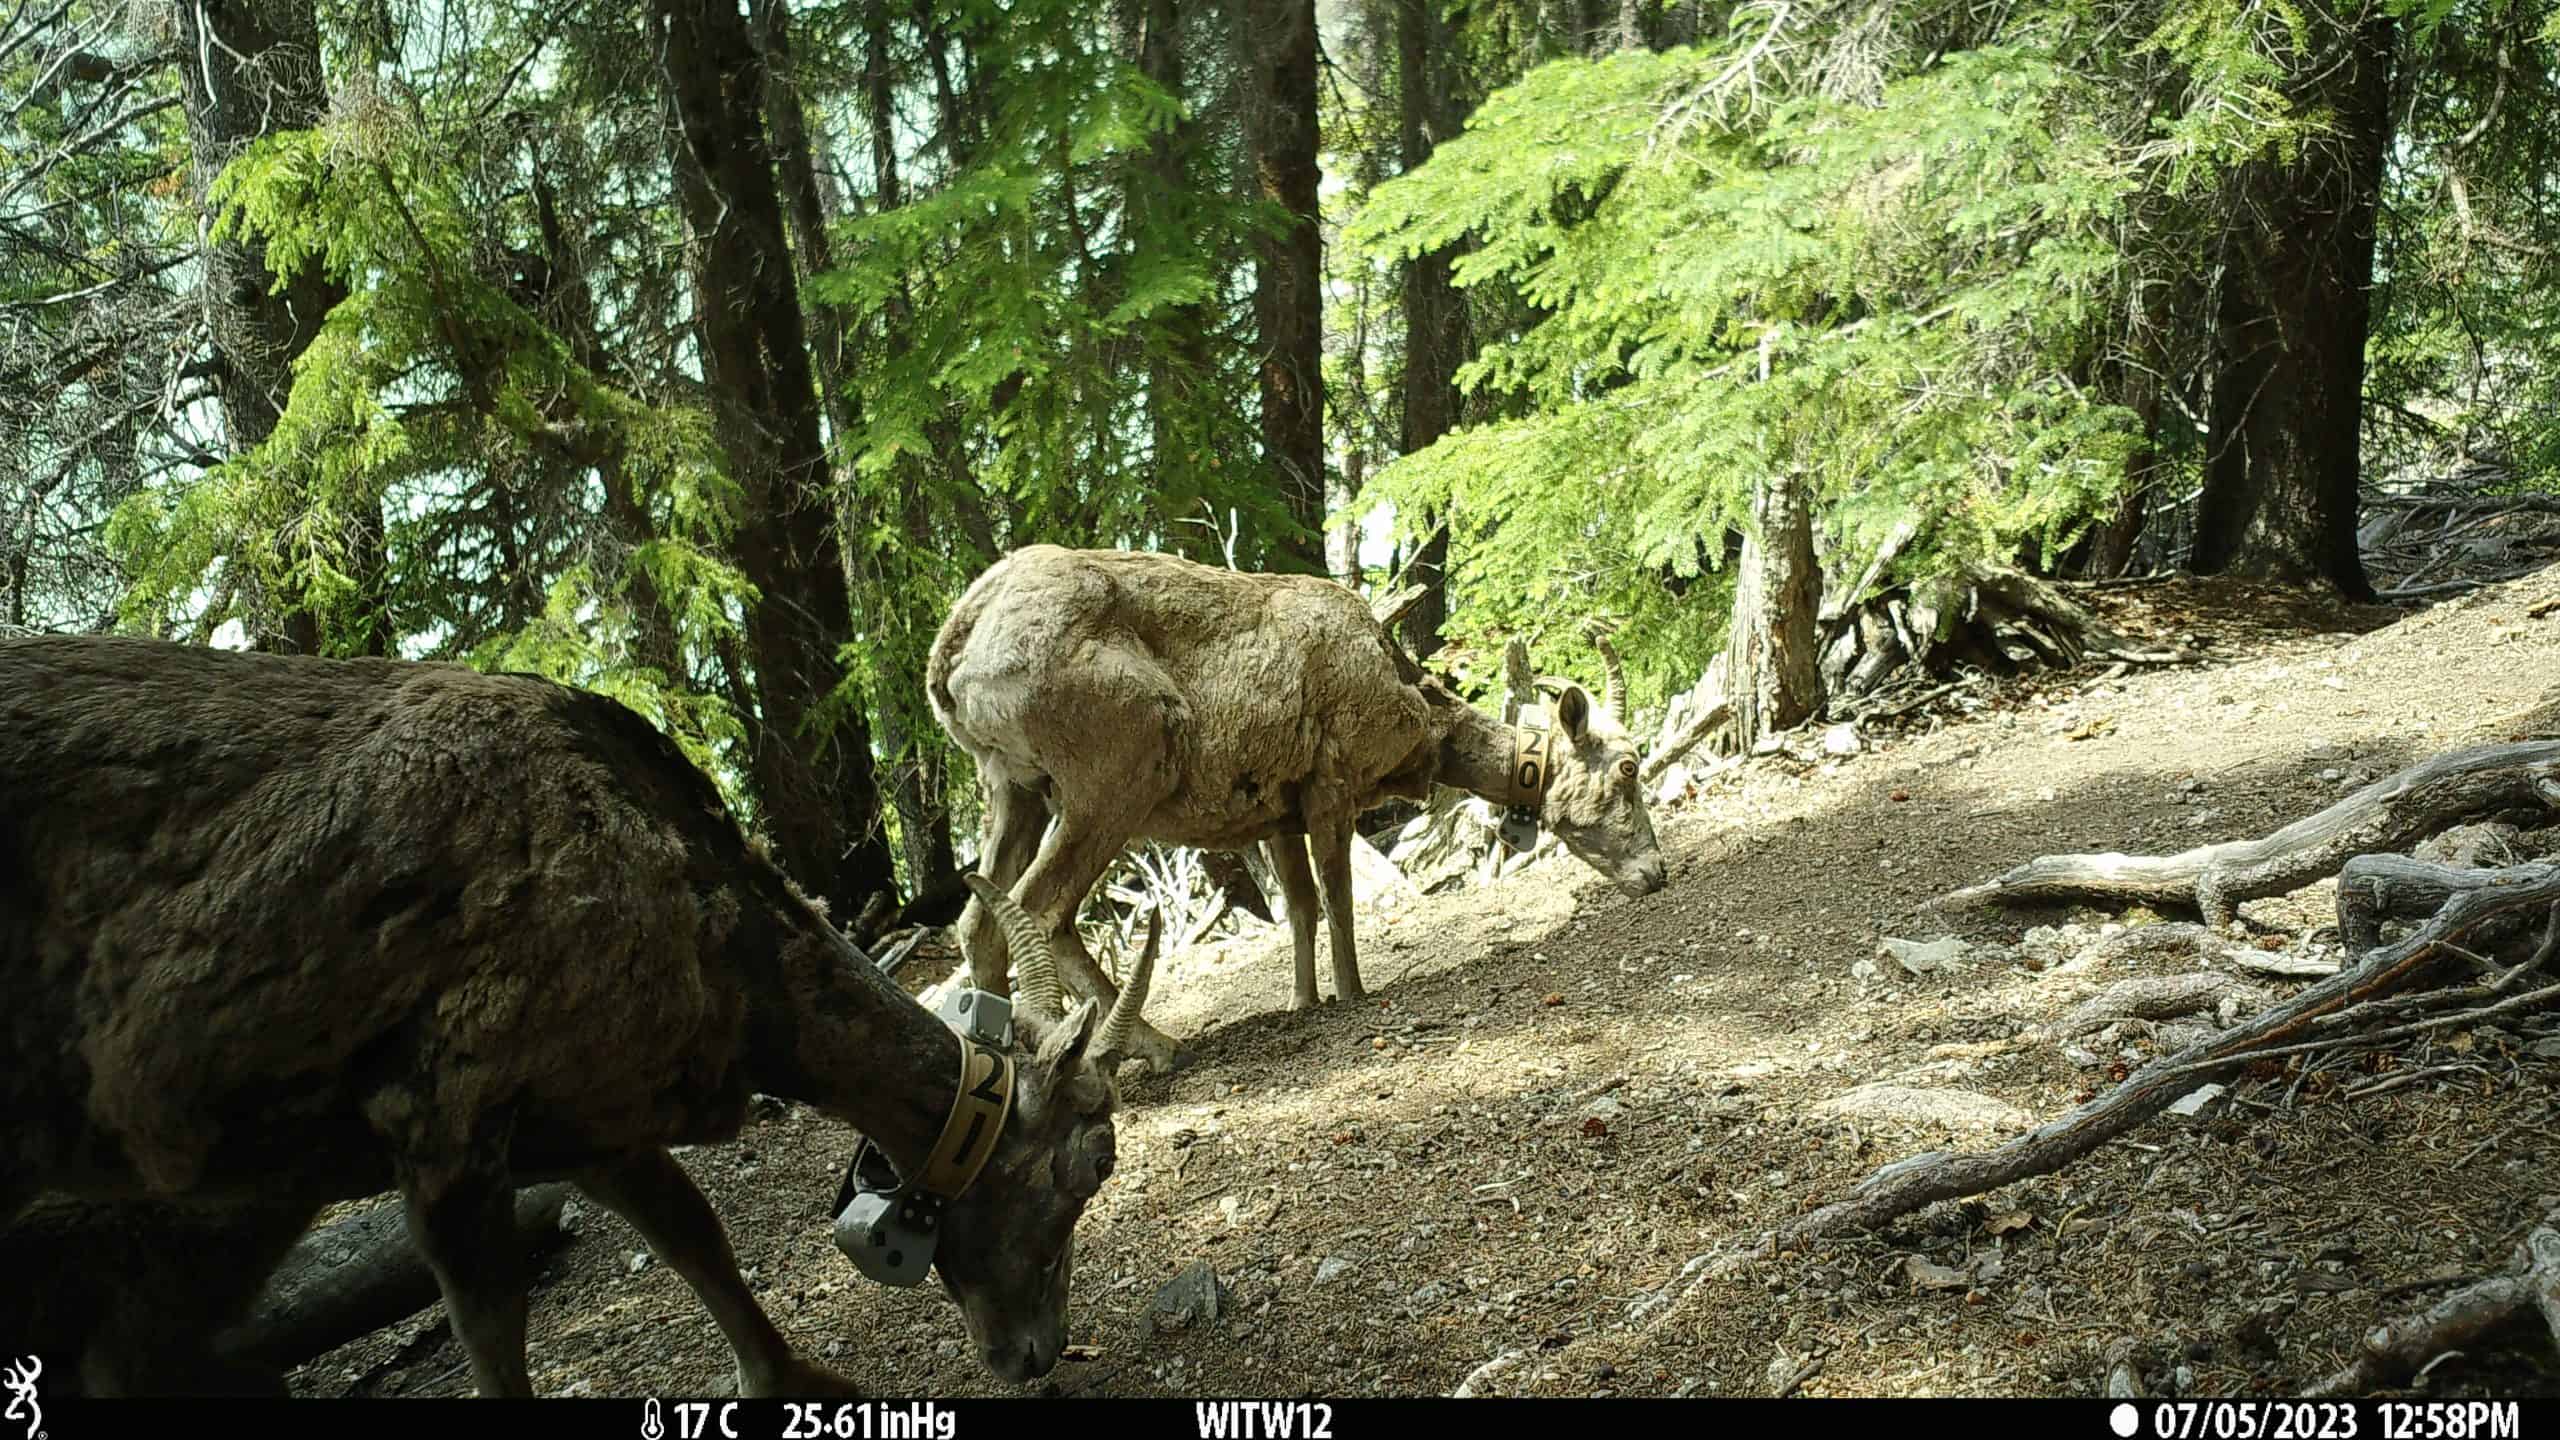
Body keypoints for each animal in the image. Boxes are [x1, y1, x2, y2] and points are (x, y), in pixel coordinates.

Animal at [0, 630, 1141, 1393]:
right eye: (1094, 1164)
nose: (1036, 1353)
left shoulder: (590, 1117)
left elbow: (696, 1236)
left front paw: (793, 1383)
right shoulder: (443, 1121)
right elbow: (491, 1331)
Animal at [931, 540, 1669, 1065]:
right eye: (1629, 768)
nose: (1657, 874)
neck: (1409, 703)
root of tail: (958, 649)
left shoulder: (1275, 815)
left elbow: (1300, 907)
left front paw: (1302, 1001)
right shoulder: (1331, 791)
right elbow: (1340, 898)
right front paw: (1353, 991)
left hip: (1015, 791)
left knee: (979, 920)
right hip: (1109, 786)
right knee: (1037, 912)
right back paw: (1154, 1049)